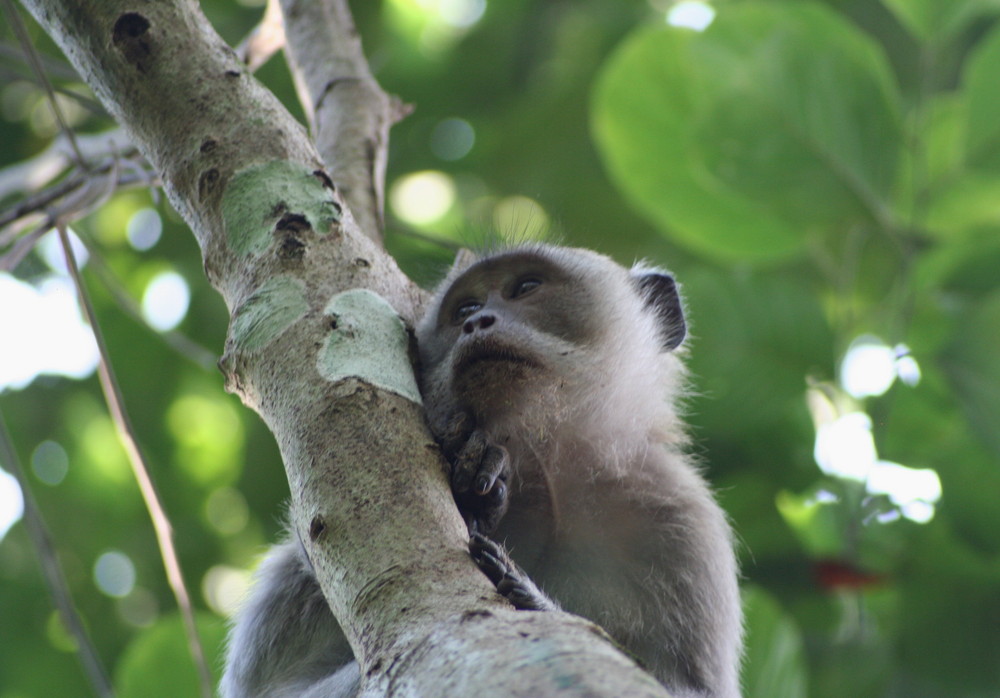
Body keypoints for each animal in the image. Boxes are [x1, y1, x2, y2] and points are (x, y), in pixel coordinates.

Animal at [223, 245, 740, 696]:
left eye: (526, 286)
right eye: (465, 307)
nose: (477, 321)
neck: (548, 474)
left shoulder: (680, 521)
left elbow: (689, 687)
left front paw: (536, 602)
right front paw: (473, 488)